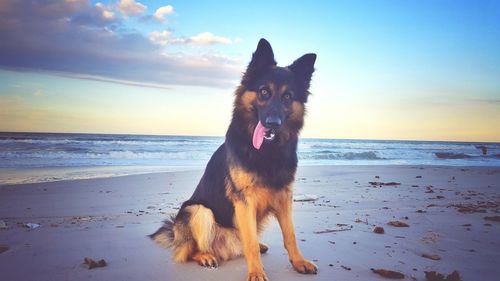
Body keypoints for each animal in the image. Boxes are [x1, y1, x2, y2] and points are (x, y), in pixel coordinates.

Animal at [150, 37, 318, 280]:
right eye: (264, 92)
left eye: (287, 97)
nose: (273, 123)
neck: (267, 151)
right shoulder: (244, 200)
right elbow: (250, 243)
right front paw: (256, 272)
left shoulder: (284, 197)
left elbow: (290, 235)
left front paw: (299, 262)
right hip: (198, 210)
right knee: (192, 250)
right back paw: (206, 256)